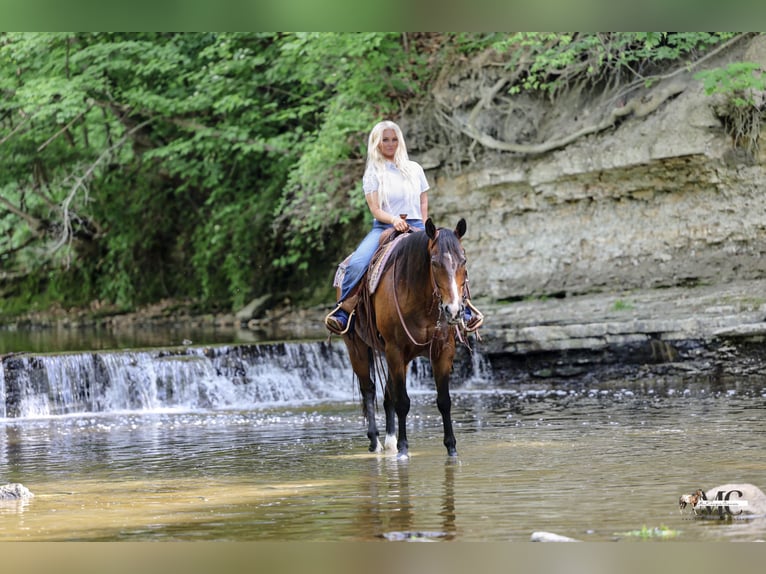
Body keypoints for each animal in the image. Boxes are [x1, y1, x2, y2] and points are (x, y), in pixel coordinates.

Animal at [338, 217, 472, 459]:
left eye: (463, 260)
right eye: (434, 262)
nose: (454, 310)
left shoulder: (443, 350)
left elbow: (444, 401)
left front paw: (451, 448)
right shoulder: (395, 349)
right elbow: (402, 402)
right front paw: (403, 448)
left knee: (387, 392)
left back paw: (389, 442)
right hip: (357, 348)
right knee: (368, 390)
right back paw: (376, 442)